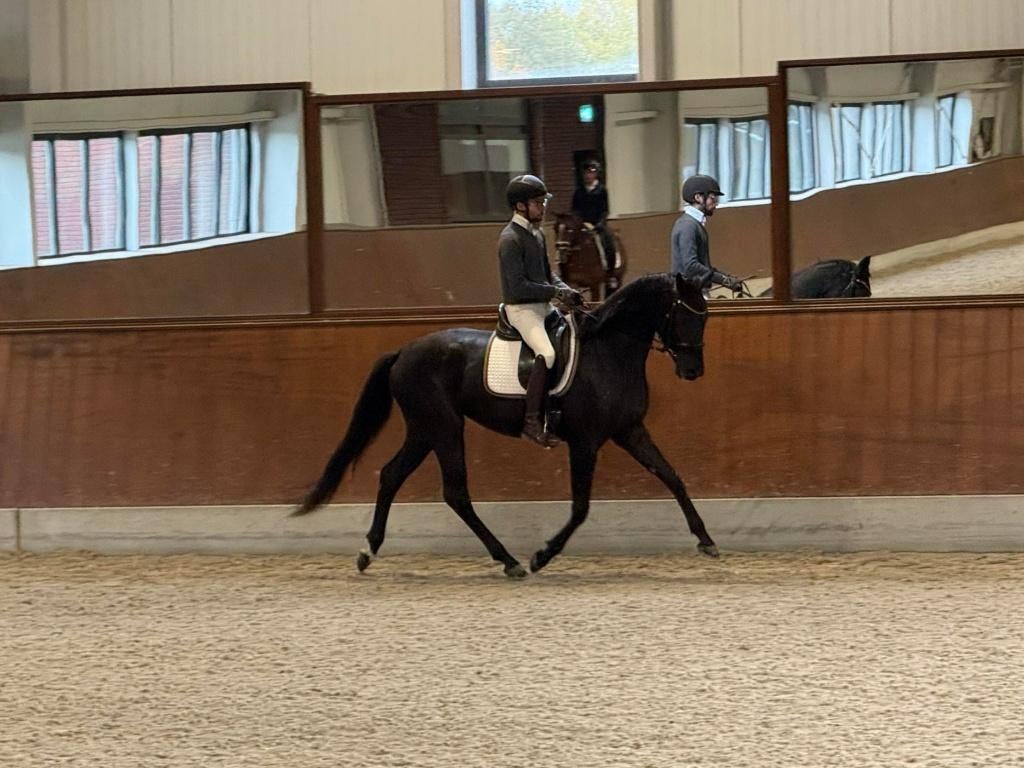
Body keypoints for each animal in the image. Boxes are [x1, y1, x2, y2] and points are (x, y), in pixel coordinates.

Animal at [292, 272, 718, 578]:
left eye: (705, 316)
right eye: (684, 313)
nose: (693, 371)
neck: (608, 352)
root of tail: (404, 351)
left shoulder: (629, 431)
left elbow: (672, 477)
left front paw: (706, 540)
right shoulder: (585, 442)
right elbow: (581, 507)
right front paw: (542, 556)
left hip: (424, 430)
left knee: (391, 475)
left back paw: (368, 552)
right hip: (445, 428)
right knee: (455, 493)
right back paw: (510, 561)